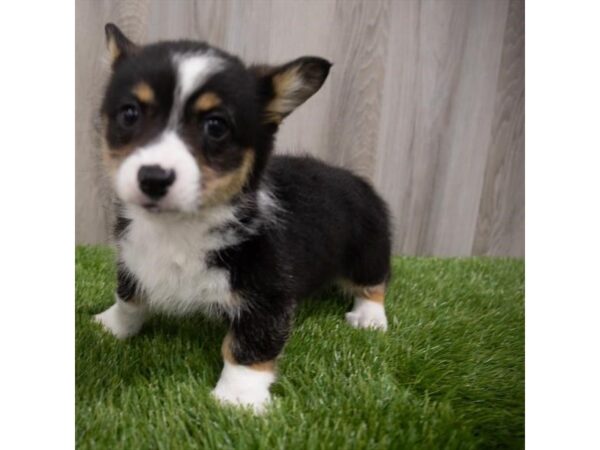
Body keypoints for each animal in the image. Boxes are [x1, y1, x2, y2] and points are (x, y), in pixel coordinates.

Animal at [94, 23, 392, 412]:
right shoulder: (133, 261)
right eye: (129, 114)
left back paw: (370, 317)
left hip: (367, 250)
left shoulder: (267, 294)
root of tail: (353, 177)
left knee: (375, 282)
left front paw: (237, 399)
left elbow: (247, 346)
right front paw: (109, 326)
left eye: (216, 126)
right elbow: (129, 298)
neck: (178, 228)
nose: (153, 178)